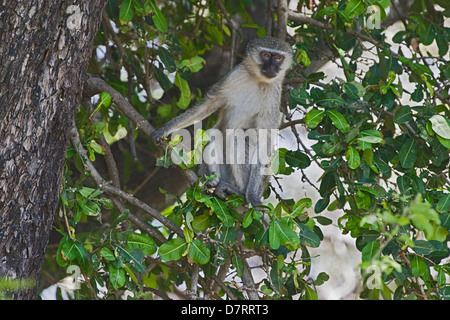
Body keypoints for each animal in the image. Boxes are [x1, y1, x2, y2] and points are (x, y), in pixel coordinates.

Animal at [152, 36, 296, 204]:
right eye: (266, 55)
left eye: (278, 58)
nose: (272, 67)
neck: (257, 80)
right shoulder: (233, 76)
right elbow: (207, 105)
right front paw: (164, 130)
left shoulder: (273, 99)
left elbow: (264, 141)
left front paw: (252, 197)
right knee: (215, 132)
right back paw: (212, 182)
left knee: (239, 136)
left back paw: (239, 192)